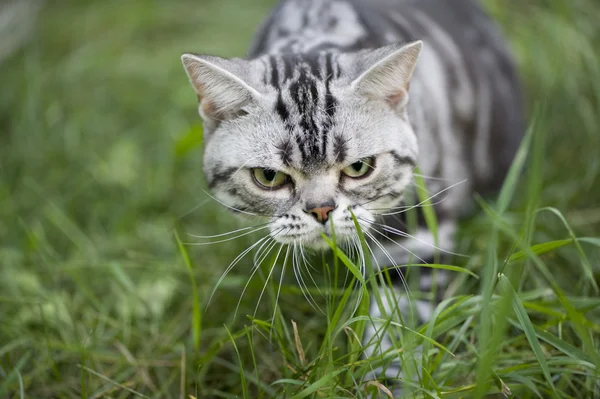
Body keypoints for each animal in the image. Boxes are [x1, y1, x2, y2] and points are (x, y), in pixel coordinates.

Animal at [180, 0, 524, 394]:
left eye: (359, 167)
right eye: (269, 177)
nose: (321, 209)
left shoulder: (416, 238)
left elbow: (397, 324)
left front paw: (386, 381)